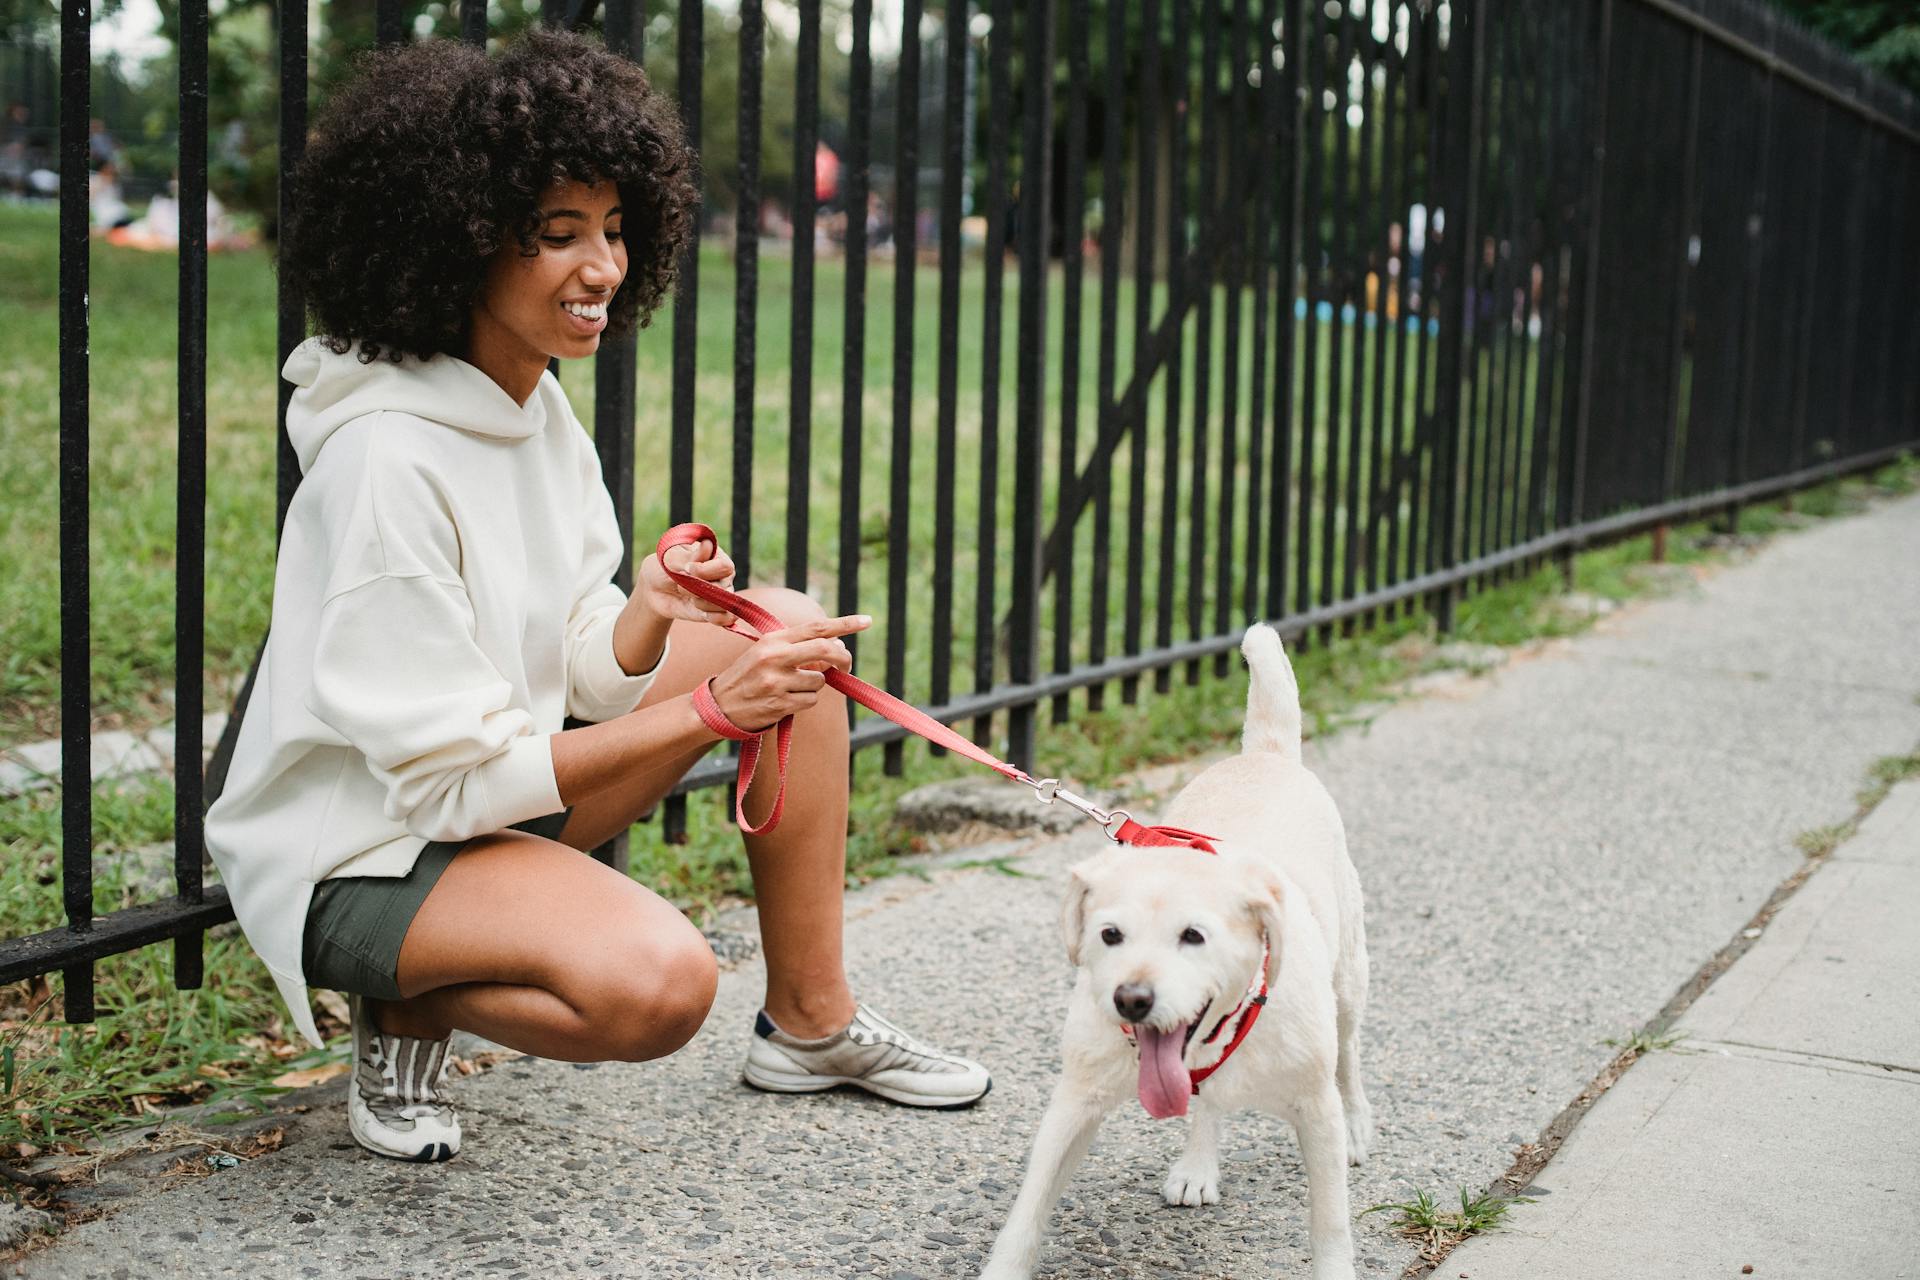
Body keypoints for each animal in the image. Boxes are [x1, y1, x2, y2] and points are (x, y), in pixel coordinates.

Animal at [983, 629, 1374, 1280]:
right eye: (1110, 935)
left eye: (1194, 936)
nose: (1133, 1001)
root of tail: (1266, 757)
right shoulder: (1074, 1103)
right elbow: (1026, 1214)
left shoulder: (1314, 1109)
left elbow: (1331, 1226)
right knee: (1208, 1102)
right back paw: (1197, 1165)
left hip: (1347, 984)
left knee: (1348, 1055)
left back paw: (1358, 1125)